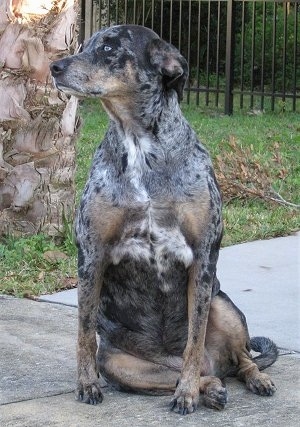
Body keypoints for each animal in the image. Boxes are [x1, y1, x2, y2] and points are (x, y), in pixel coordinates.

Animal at [50, 23, 278, 414]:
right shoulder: (91, 255)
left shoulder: (203, 257)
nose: (55, 67)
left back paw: (248, 379)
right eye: (85, 44)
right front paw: (86, 384)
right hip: (122, 364)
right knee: (203, 374)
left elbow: (194, 339)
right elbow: (84, 332)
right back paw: (210, 388)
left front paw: (186, 394)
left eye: (109, 47)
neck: (139, 145)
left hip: (224, 305)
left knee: (240, 359)